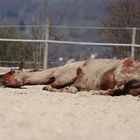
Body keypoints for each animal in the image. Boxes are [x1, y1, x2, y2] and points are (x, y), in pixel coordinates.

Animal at [0, 58, 140, 96]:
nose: (0, 78)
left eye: (12, 71)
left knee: (117, 88)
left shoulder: (66, 76)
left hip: (120, 72)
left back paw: (96, 92)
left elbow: (49, 86)